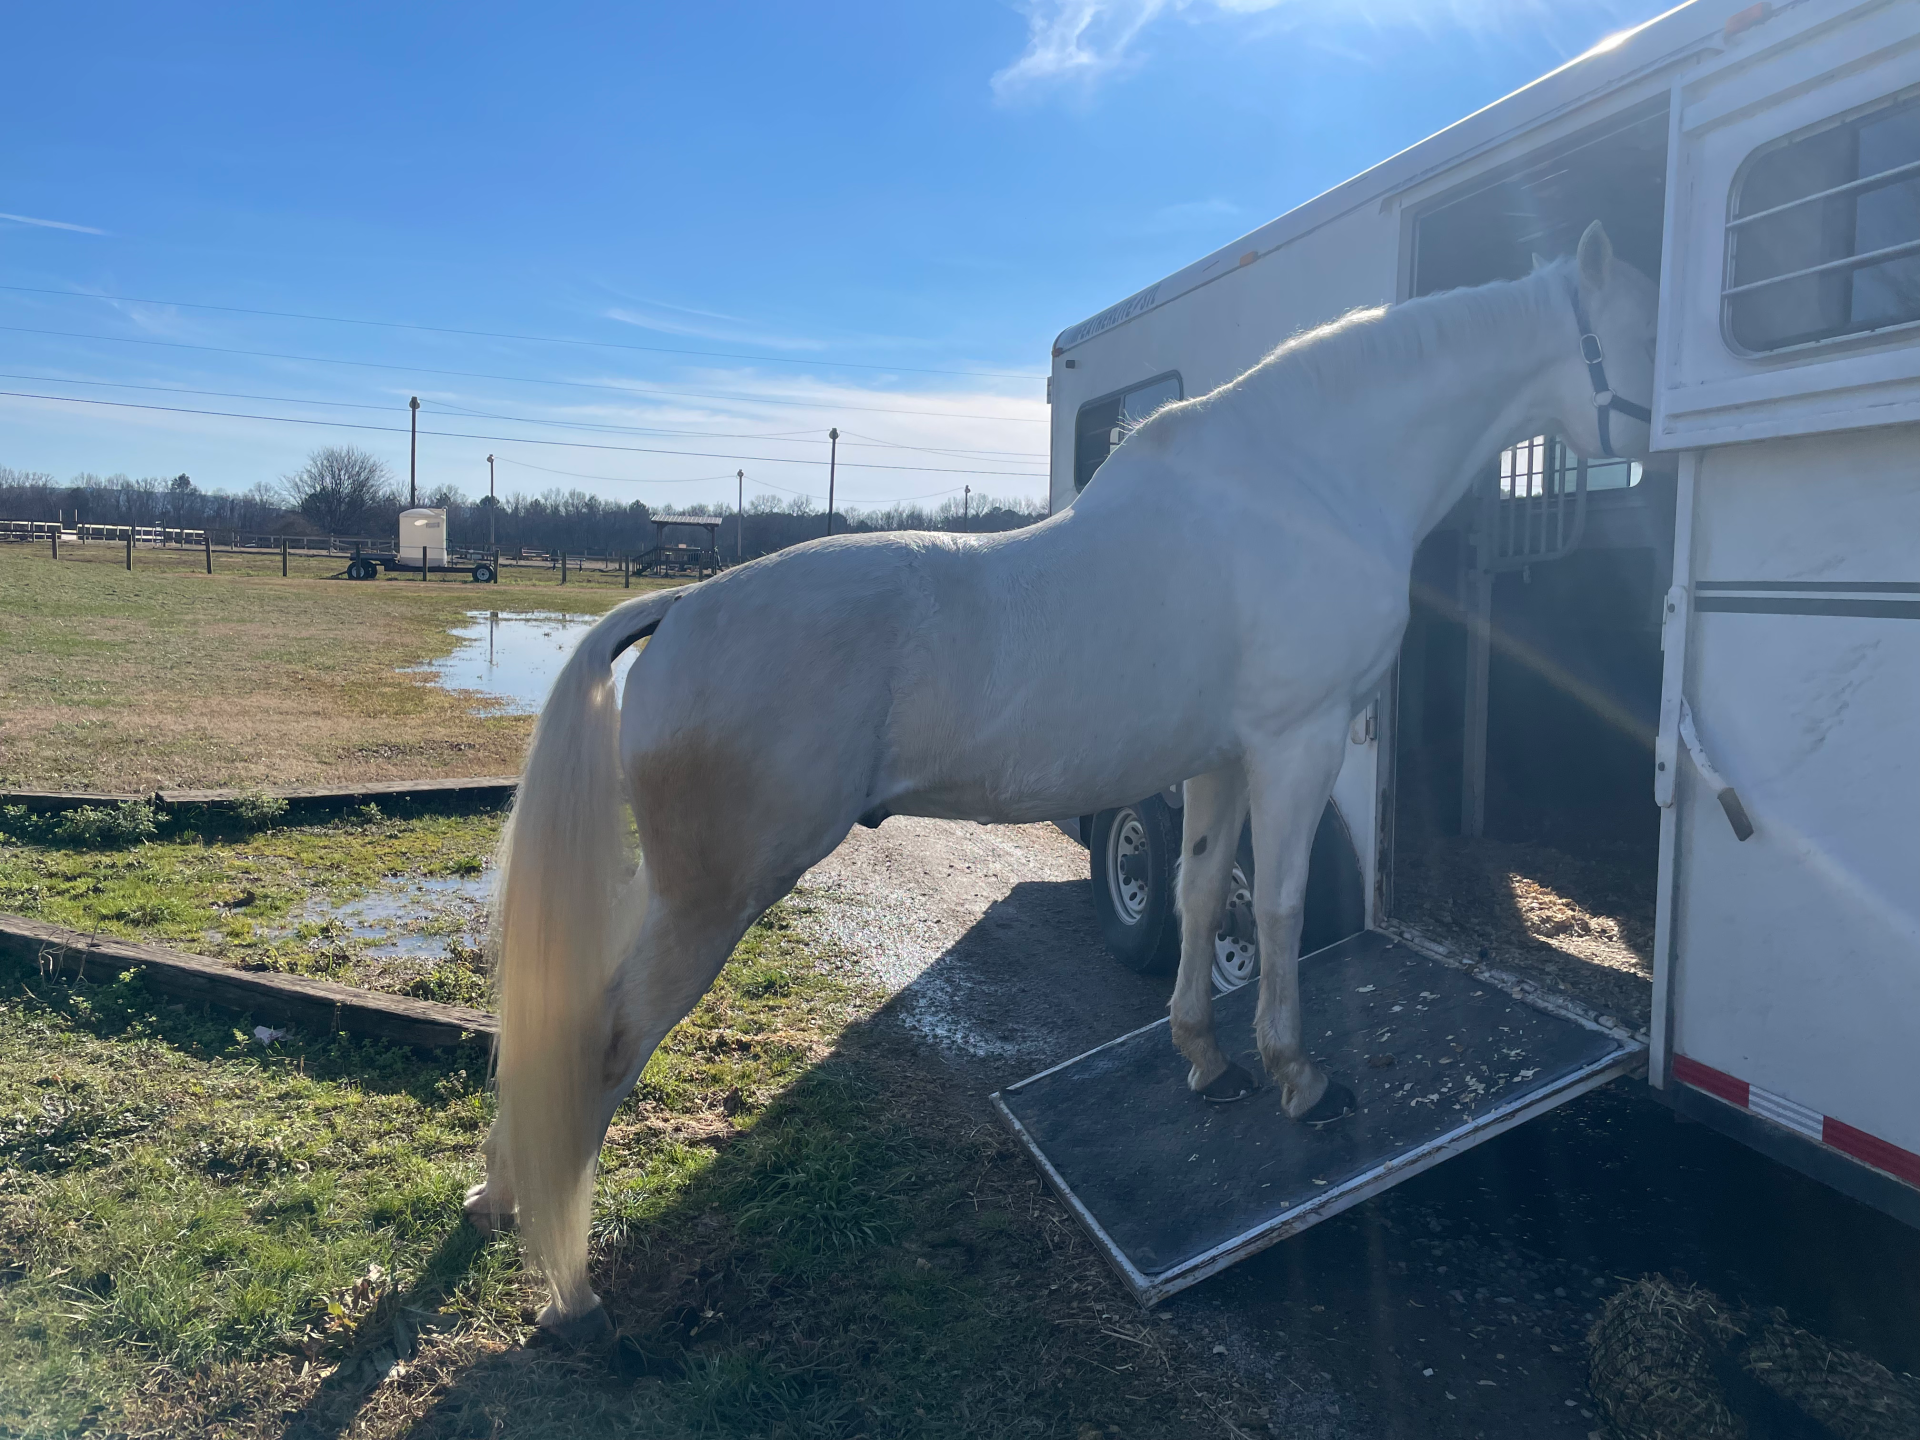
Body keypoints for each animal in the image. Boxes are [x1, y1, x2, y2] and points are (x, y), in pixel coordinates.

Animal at [468, 221, 1658, 1341]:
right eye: (1650, 338)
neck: (1309, 483)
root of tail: (681, 610)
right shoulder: (1298, 742)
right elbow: (1275, 910)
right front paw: (1300, 1080)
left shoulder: (1223, 758)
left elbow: (1199, 896)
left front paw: (1206, 1060)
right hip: (713, 898)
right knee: (605, 1041)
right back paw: (572, 1295)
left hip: (672, 892)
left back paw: (500, 1198)